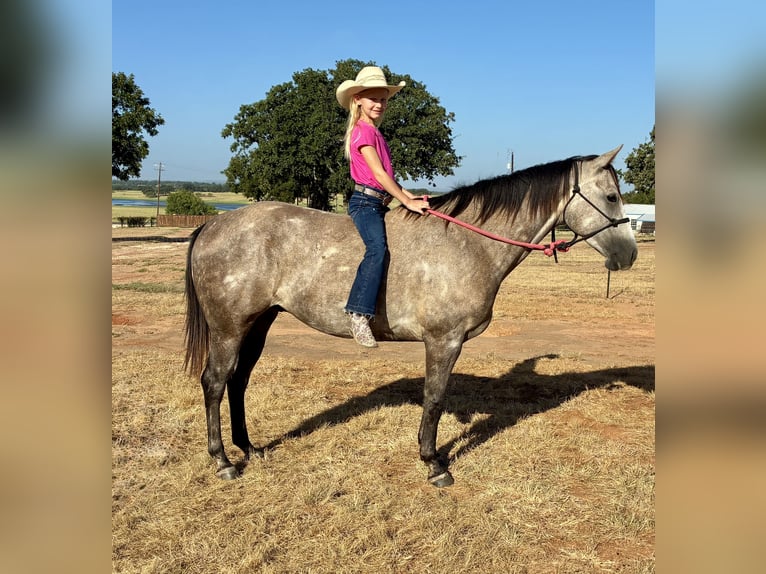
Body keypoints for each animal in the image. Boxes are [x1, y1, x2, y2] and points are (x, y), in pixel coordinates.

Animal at [183, 146, 637, 487]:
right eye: (612, 197)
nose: (629, 255)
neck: (468, 242)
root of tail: (213, 225)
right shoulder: (444, 340)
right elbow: (434, 398)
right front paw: (434, 463)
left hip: (258, 323)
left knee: (239, 382)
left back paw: (249, 447)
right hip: (228, 328)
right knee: (215, 382)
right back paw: (223, 460)